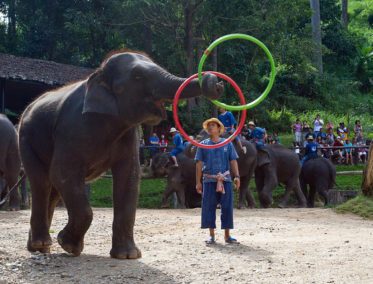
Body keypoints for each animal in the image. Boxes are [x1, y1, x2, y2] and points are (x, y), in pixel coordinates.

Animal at [18, 50, 222, 258]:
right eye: (137, 76)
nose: (215, 82)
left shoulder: (130, 134)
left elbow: (128, 177)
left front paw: (128, 255)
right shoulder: (71, 129)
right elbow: (63, 173)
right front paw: (68, 245)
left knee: (53, 190)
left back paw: (40, 248)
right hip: (26, 141)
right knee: (42, 183)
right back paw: (41, 244)